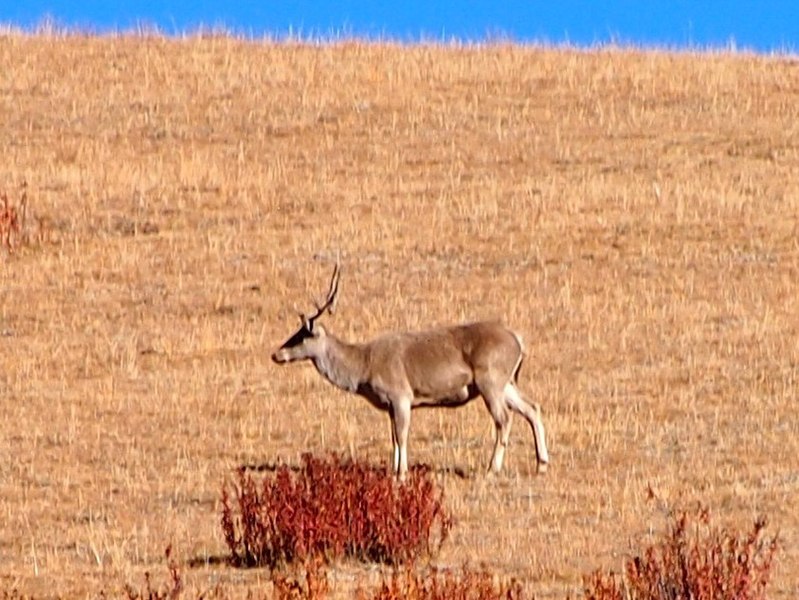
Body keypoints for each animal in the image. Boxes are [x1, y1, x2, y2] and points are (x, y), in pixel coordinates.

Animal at [270, 260, 552, 480]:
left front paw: (402, 474)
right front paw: (394, 470)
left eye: (302, 336)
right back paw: (542, 465)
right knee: (532, 407)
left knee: (503, 418)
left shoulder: (400, 395)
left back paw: (493, 468)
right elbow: (393, 437)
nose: (276, 354)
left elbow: (402, 435)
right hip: (507, 382)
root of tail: (519, 341)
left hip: (490, 379)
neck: (364, 368)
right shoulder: (389, 404)